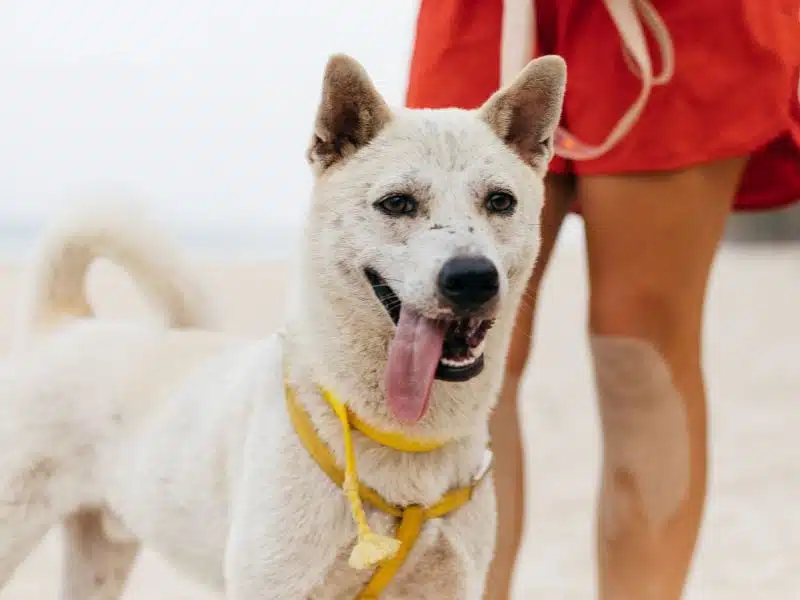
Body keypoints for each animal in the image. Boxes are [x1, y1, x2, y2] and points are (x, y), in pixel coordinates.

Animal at [0, 54, 564, 596]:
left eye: (500, 201)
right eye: (398, 203)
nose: (472, 278)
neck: (392, 436)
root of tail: (65, 323)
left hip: (102, 555)